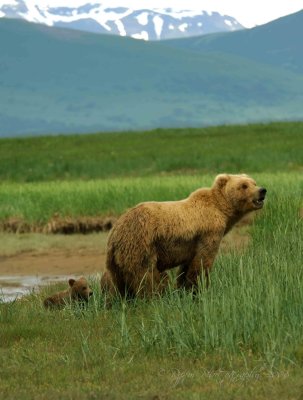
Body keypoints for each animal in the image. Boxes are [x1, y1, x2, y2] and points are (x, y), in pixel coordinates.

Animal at [101, 174, 266, 296]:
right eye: (244, 185)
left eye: (254, 182)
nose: (262, 190)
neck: (221, 211)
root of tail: (115, 232)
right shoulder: (209, 232)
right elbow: (202, 262)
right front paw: (199, 289)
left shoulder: (192, 244)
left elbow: (187, 267)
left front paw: (184, 289)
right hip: (141, 244)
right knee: (147, 276)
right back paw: (155, 296)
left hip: (116, 260)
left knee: (114, 283)